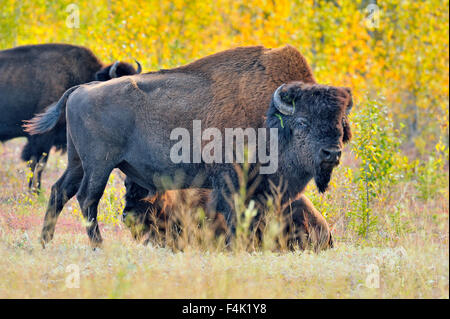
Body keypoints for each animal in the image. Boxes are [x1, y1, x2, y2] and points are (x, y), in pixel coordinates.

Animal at [26, 45, 354, 250]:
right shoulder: (231, 180)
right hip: (99, 165)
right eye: (303, 122)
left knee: (59, 192)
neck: (270, 116)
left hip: (77, 163)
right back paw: (98, 247)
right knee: (87, 199)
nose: (332, 154)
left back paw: (44, 241)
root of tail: (81, 89)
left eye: (340, 122)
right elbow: (234, 217)